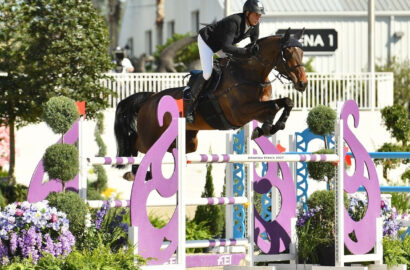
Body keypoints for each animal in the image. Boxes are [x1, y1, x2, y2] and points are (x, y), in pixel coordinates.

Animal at [113, 28, 306, 179]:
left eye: (302, 53)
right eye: (287, 54)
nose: (302, 84)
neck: (250, 74)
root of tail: (150, 98)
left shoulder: (258, 109)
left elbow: (285, 102)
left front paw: (273, 126)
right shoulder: (241, 112)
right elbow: (274, 106)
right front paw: (264, 128)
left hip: (187, 141)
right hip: (151, 136)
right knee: (139, 145)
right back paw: (133, 171)